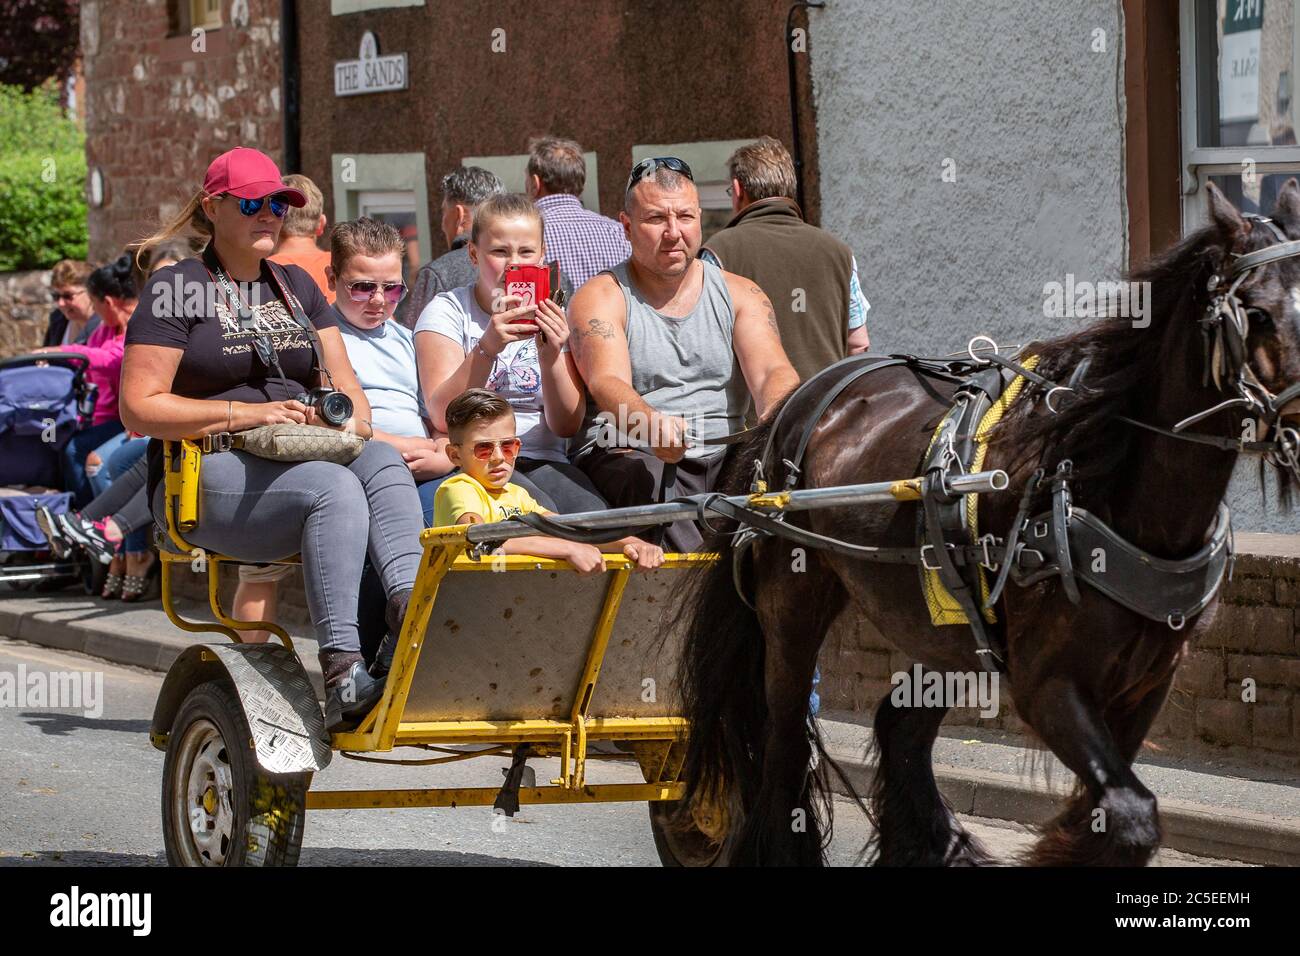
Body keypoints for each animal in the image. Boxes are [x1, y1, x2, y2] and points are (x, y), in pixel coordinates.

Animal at [665, 180, 1300, 868]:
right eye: (1257, 313)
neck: (1106, 487)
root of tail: (795, 405)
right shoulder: (1046, 683)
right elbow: (1131, 814)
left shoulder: (1147, 683)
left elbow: (1117, 812)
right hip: (792, 604)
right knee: (783, 743)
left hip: (945, 628)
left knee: (898, 725)